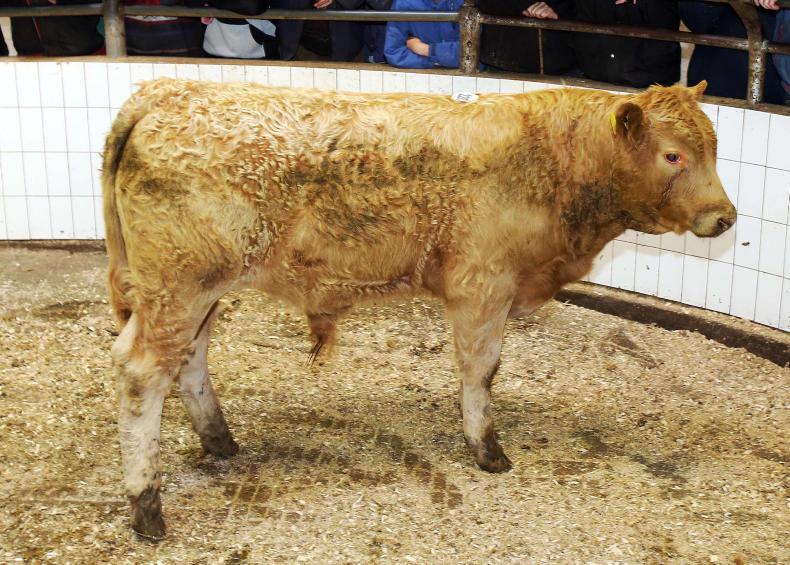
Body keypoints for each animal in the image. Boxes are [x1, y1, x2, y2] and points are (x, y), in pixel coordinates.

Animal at [102, 77, 735, 539]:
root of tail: (168, 89)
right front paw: (486, 449)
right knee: (141, 374)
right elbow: (481, 371)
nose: (725, 217)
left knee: (188, 361)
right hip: (177, 287)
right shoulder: (483, 286)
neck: (551, 162)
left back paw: (219, 440)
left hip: (198, 291)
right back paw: (147, 505)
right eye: (673, 155)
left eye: (713, 149)